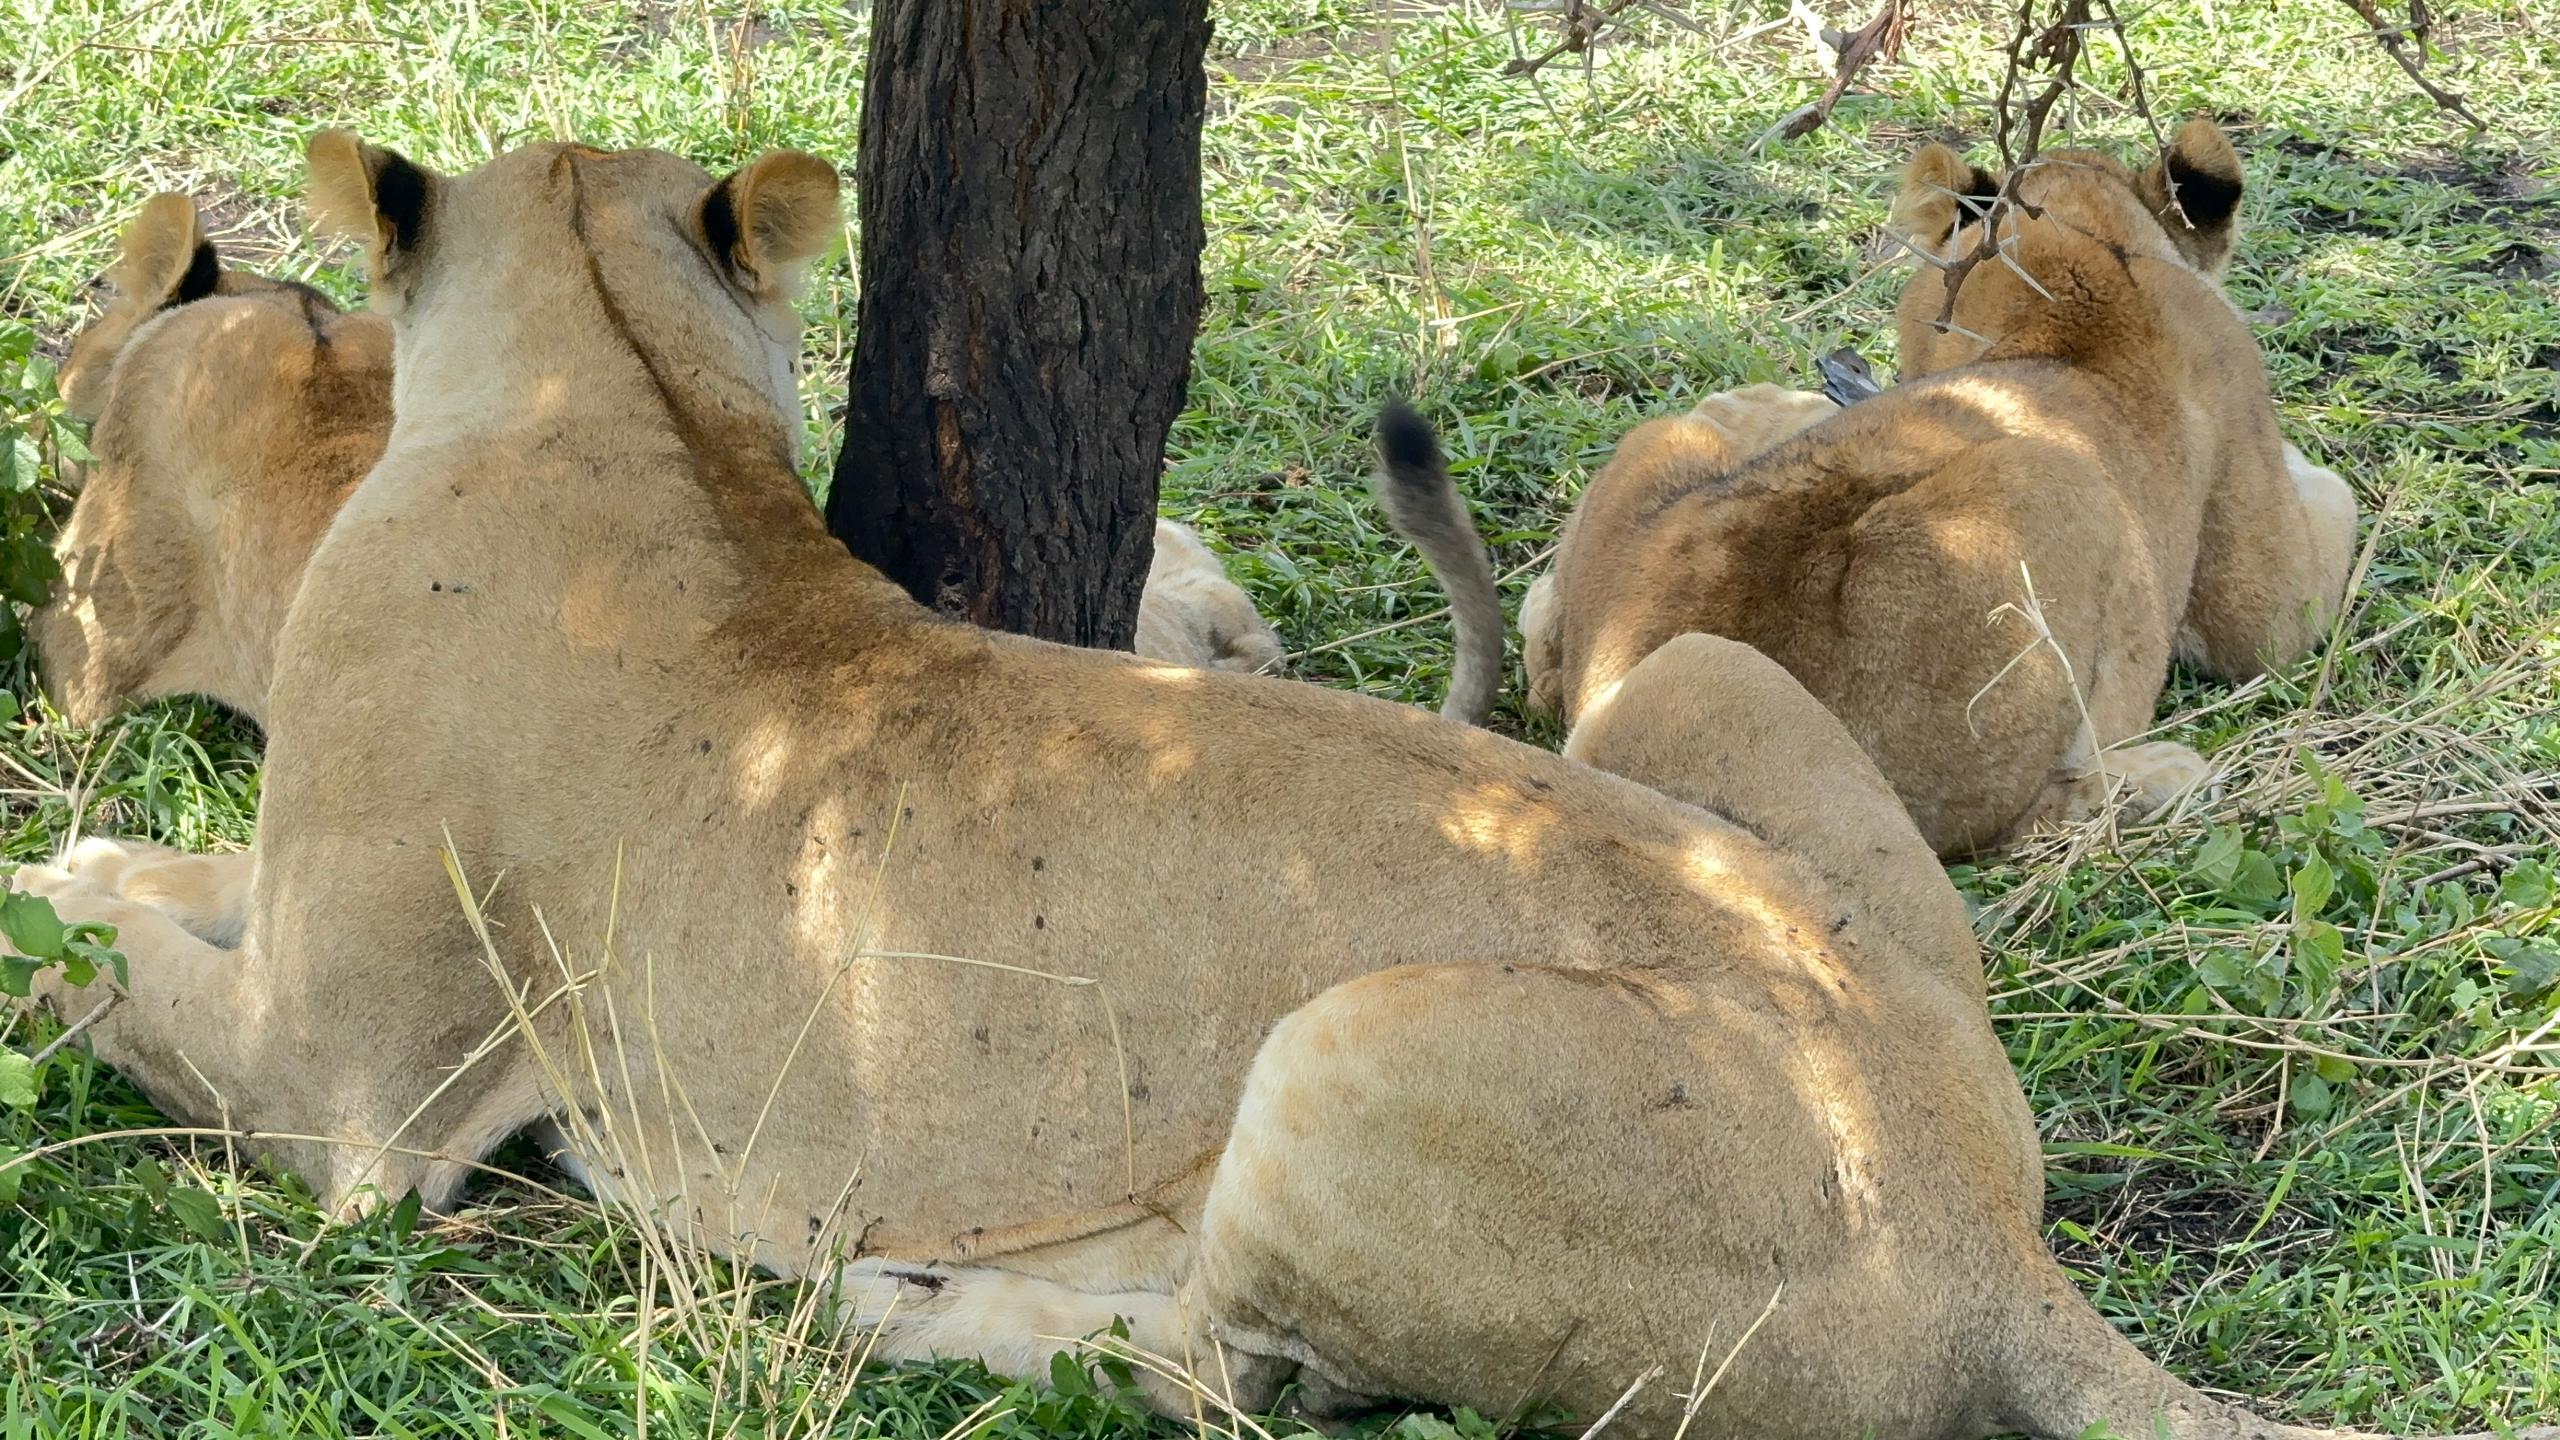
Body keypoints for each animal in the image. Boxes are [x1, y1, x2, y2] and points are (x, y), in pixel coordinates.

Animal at [1521, 119, 2360, 856]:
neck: (2075, 256)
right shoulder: (2260, 602)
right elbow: (2325, 529)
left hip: (1657, 446)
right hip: (2049, 485)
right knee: (2015, 824)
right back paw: (2162, 779)